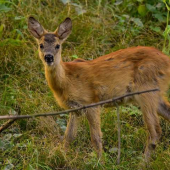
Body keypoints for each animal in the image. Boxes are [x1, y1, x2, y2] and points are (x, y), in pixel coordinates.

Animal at [28, 16, 170, 161]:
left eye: (58, 45)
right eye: (41, 45)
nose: (49, 57)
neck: (67, 80)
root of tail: (167, 60)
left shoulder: (91, 102)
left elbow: (96, 138)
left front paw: (100, 161)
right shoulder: (75, 109)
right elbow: (69, 136)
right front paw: (63, 156)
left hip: (147, 91)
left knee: (155, 131)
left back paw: (143, 162)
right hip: (155, 94)